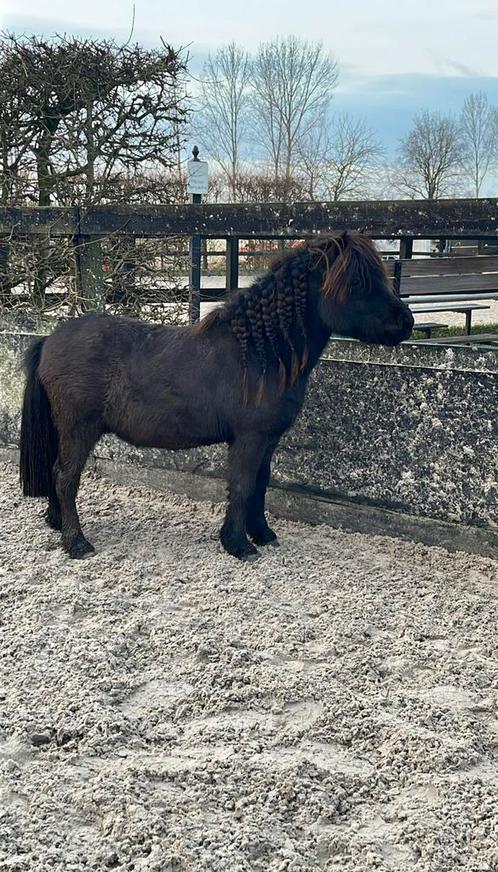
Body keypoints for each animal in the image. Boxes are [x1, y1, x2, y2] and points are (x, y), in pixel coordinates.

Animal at [19, 232, 412, 560]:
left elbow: (260, 484)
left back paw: (58, 523)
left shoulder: (268, 439)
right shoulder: (249, 438)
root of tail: (50, 339)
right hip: (79, 429)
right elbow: (241, 485)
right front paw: (238, 544)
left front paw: (262, 534)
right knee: (65, 477)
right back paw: (76, 542)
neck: (258, 353)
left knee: (56, 473)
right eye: (358, 282)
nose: (406, 322)